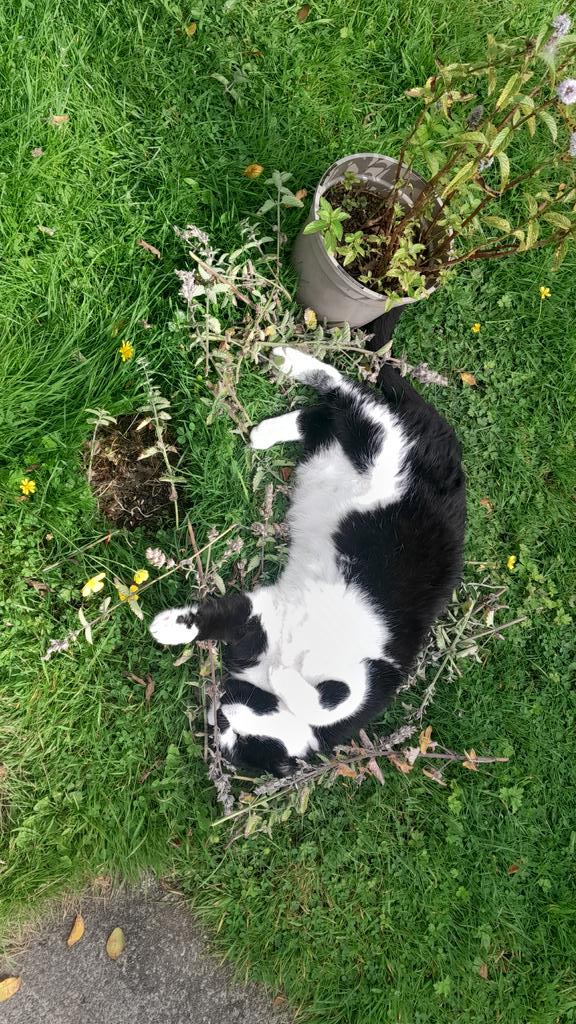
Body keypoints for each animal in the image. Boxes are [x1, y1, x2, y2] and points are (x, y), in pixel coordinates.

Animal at [150, 348, 463, 770]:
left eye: (240, 740)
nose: (221, 720)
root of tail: (445, 438)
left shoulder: (355, 673)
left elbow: (329, 702)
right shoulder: (262, 619)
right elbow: (211, 619)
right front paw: (169, 627)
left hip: (371, 450)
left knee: (338, 406)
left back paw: (278, 401)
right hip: (375, 448)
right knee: (343, 400)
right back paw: (289, 370)